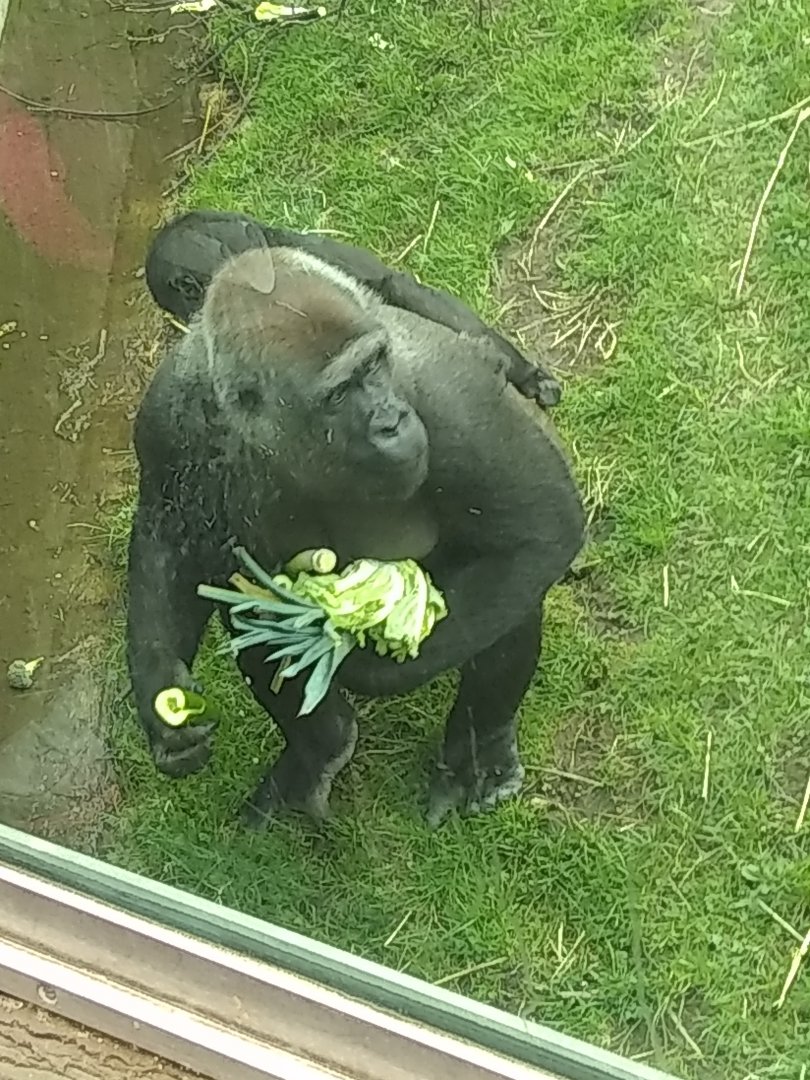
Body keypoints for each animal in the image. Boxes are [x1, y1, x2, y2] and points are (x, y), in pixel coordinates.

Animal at [126, 244, 585, 830]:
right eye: (341, 391)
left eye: (375, 367)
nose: (390, 421)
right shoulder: (168, 417)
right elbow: (166, 537)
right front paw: (162, 701)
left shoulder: (455, 398)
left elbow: (543, 527)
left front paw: (361, 665)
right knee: (246, 602)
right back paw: (319, 749)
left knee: (513, 583)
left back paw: (479, 749)